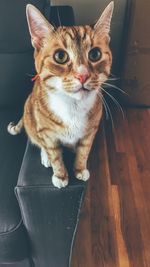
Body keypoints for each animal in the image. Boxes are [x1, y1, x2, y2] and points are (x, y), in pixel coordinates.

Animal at [7, 1, 113, 188]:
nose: (83, 75)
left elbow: (84, 151)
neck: (73, 106)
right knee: (38, 141)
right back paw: (45, 157)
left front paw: (80, 169)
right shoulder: (47, 133)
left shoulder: (90, 132)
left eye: (95, 54)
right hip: (31, 116)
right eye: (60, 56)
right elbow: (54, 155)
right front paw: (60, 176)